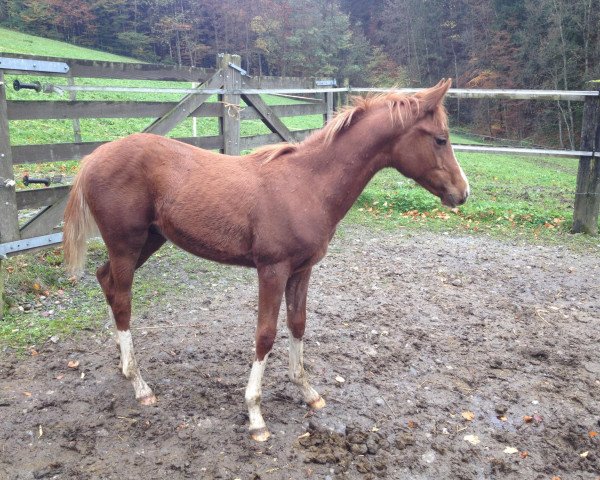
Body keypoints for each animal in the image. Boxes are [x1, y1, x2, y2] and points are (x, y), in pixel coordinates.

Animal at [64, 79, 468, 442]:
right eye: (440, 139)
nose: (462, 193)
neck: (308, 184)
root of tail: (92, 157)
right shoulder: (272, 271)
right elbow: (266, 334)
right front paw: (256, 415)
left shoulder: (302, 270)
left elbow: (298, 324)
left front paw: (308, 392)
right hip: (126, 244)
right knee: (122, 301)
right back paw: (140, 385)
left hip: (148, 240)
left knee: (106, 282)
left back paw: (123, 363)